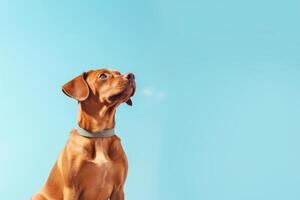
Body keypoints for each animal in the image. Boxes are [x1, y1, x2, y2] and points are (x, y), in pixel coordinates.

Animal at [31, 68, 136, 200]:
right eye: (103, 76)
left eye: (119, 73)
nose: (131, 76)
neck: (99, 136)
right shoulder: (72, 189)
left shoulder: (118, 189)